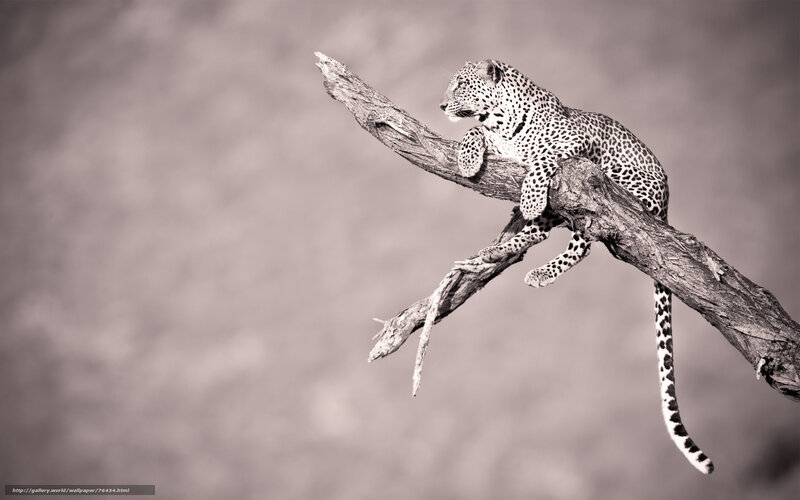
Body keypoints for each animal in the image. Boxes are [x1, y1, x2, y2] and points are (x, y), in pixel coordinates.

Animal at [440, 59, 713, 474]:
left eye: (461, 85)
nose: (441, 105)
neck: (500, 121)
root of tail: (666, 205)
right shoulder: (496, 139)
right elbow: (474, 131)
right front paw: (469, 160)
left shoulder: (572, 144)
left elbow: (540, 160)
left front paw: (530, 195)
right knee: (542, 234)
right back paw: (495, 252)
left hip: (607, 188)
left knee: (585, 240)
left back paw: (535, 262)